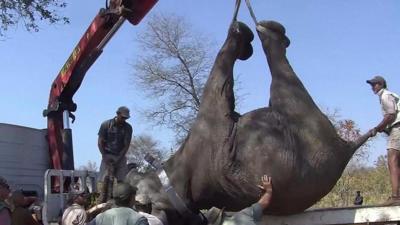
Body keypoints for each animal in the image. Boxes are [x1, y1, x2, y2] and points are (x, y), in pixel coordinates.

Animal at [126, 19, 372, 223]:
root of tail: (345, 151)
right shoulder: (212, 127)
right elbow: (220, 85)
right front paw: (241, 33)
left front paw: (242, 34)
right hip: (299, 119)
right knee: (281, 79)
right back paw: (269, 32)